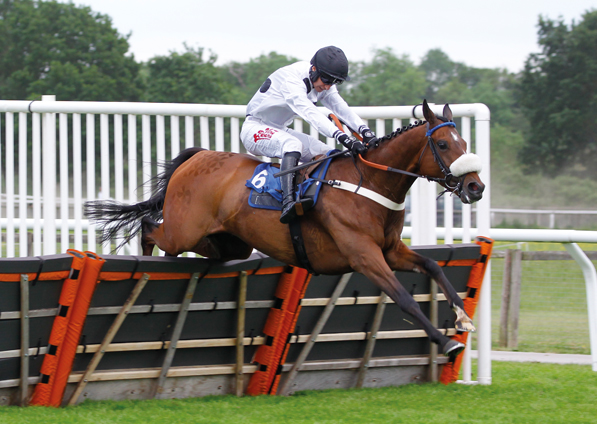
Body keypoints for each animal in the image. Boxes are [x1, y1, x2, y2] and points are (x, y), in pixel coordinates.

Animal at [84, 99, 484, 358]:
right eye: (443, 143)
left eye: (465, 143)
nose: (475, 187)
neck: (368, 182)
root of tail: (198, 156)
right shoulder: (364, 255)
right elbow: (403, 297)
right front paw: (447, 341)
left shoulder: (390, 250)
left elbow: (432, 266)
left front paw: (463, 318)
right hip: (184, 229)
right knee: (150, 228)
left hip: (231, 243)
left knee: (195, 246)